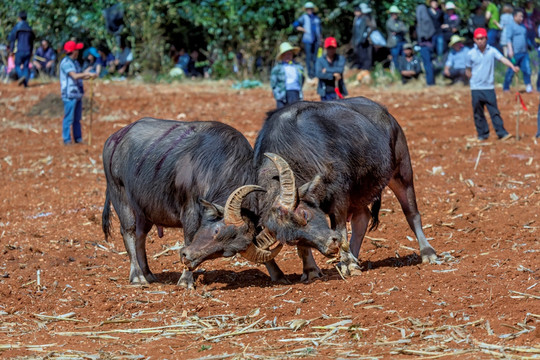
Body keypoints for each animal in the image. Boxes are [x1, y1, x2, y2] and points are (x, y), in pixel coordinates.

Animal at [101, 116, 280, 288]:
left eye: (227, 252)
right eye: (216, 231)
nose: (188, 257)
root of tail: (113, 139)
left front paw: (277, 273)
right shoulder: (190, 210)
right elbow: (190, 236)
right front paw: (185, 280)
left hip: (145, 211)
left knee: (140, 236)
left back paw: (148, 274)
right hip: (120, 195)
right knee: (128, 232)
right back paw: (138, 277)